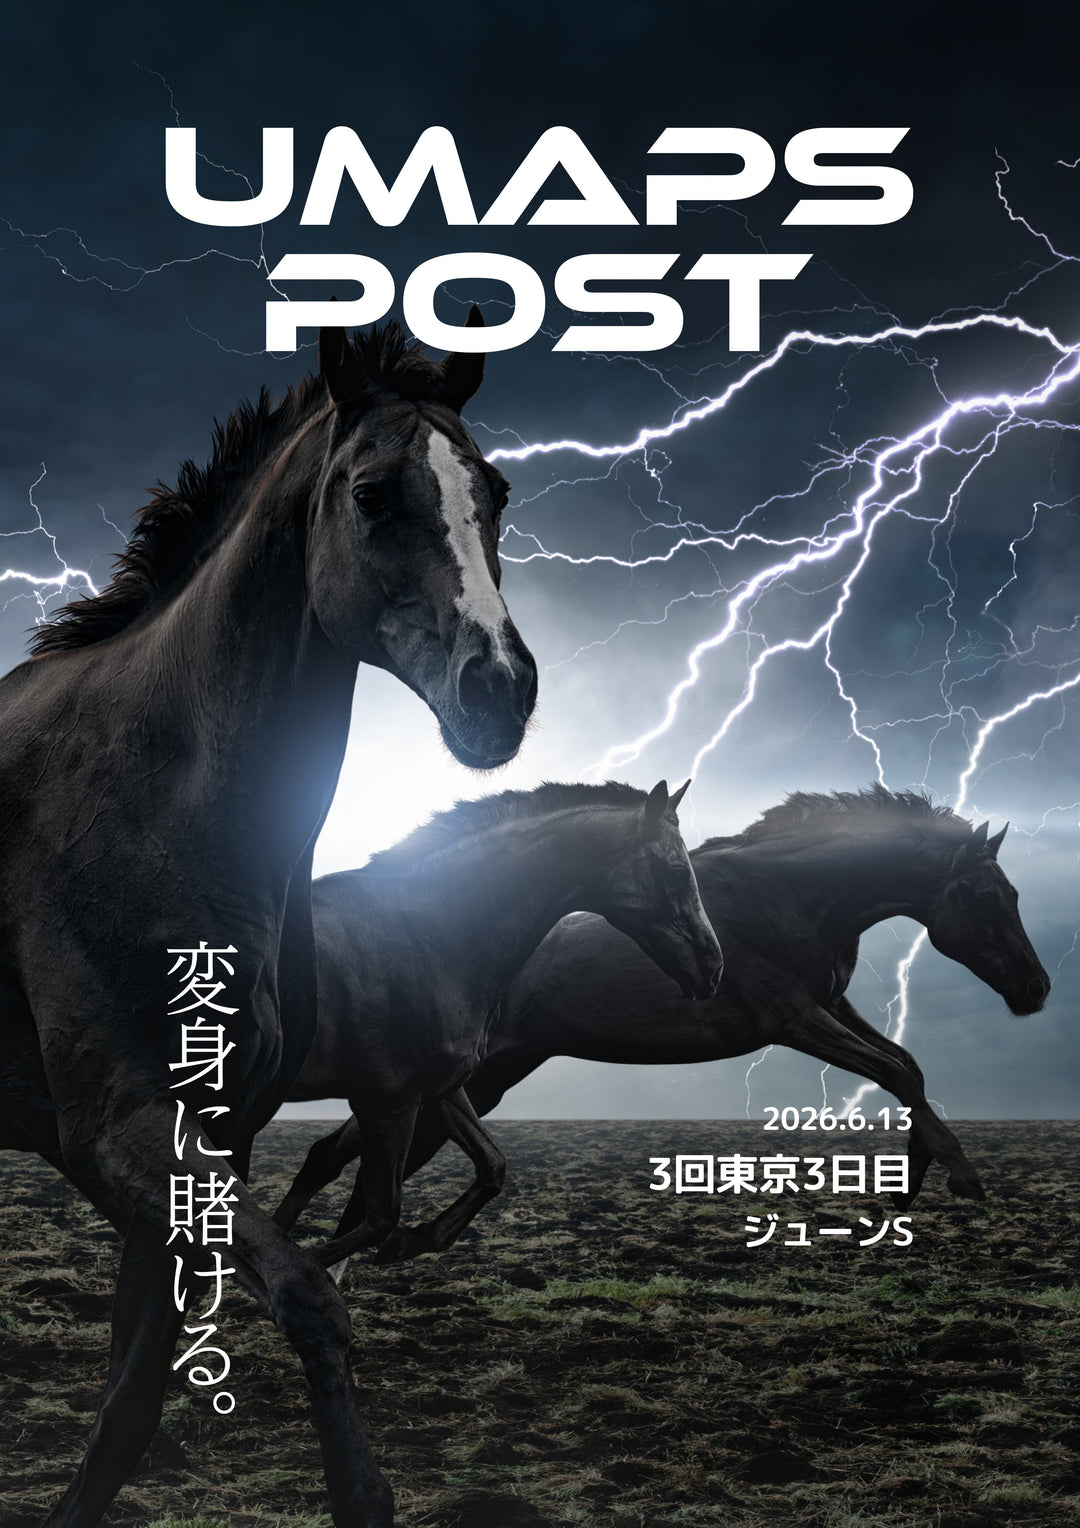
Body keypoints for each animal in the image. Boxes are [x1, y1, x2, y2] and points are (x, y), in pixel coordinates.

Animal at [0, 314, 536, 1528]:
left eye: (495, 493)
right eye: (372, 493)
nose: (500, 689)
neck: (156, 794)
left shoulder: (216, 1131)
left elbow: (129, 1406)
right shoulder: (121, 1130)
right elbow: (309, 1303)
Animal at [272, 779, 724, 1270]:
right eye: (677, 873)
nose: (713, 967)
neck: (421, 936)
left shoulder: (439, 1089)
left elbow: (492, 1166)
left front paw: (414, 1240)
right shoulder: (389, 1102)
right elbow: (379, 1218)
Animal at [295, 787, 1050, 1228]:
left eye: (1013, 894)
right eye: (990, 897)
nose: (1037, 989)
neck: (788, 897)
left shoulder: (832, 1003)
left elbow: (908, 1066)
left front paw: (909, 1182)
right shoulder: (794, 1019)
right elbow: (894, 1072)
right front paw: (960, 1178)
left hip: (479, 1082)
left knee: (337, 1155)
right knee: (337, 1156)